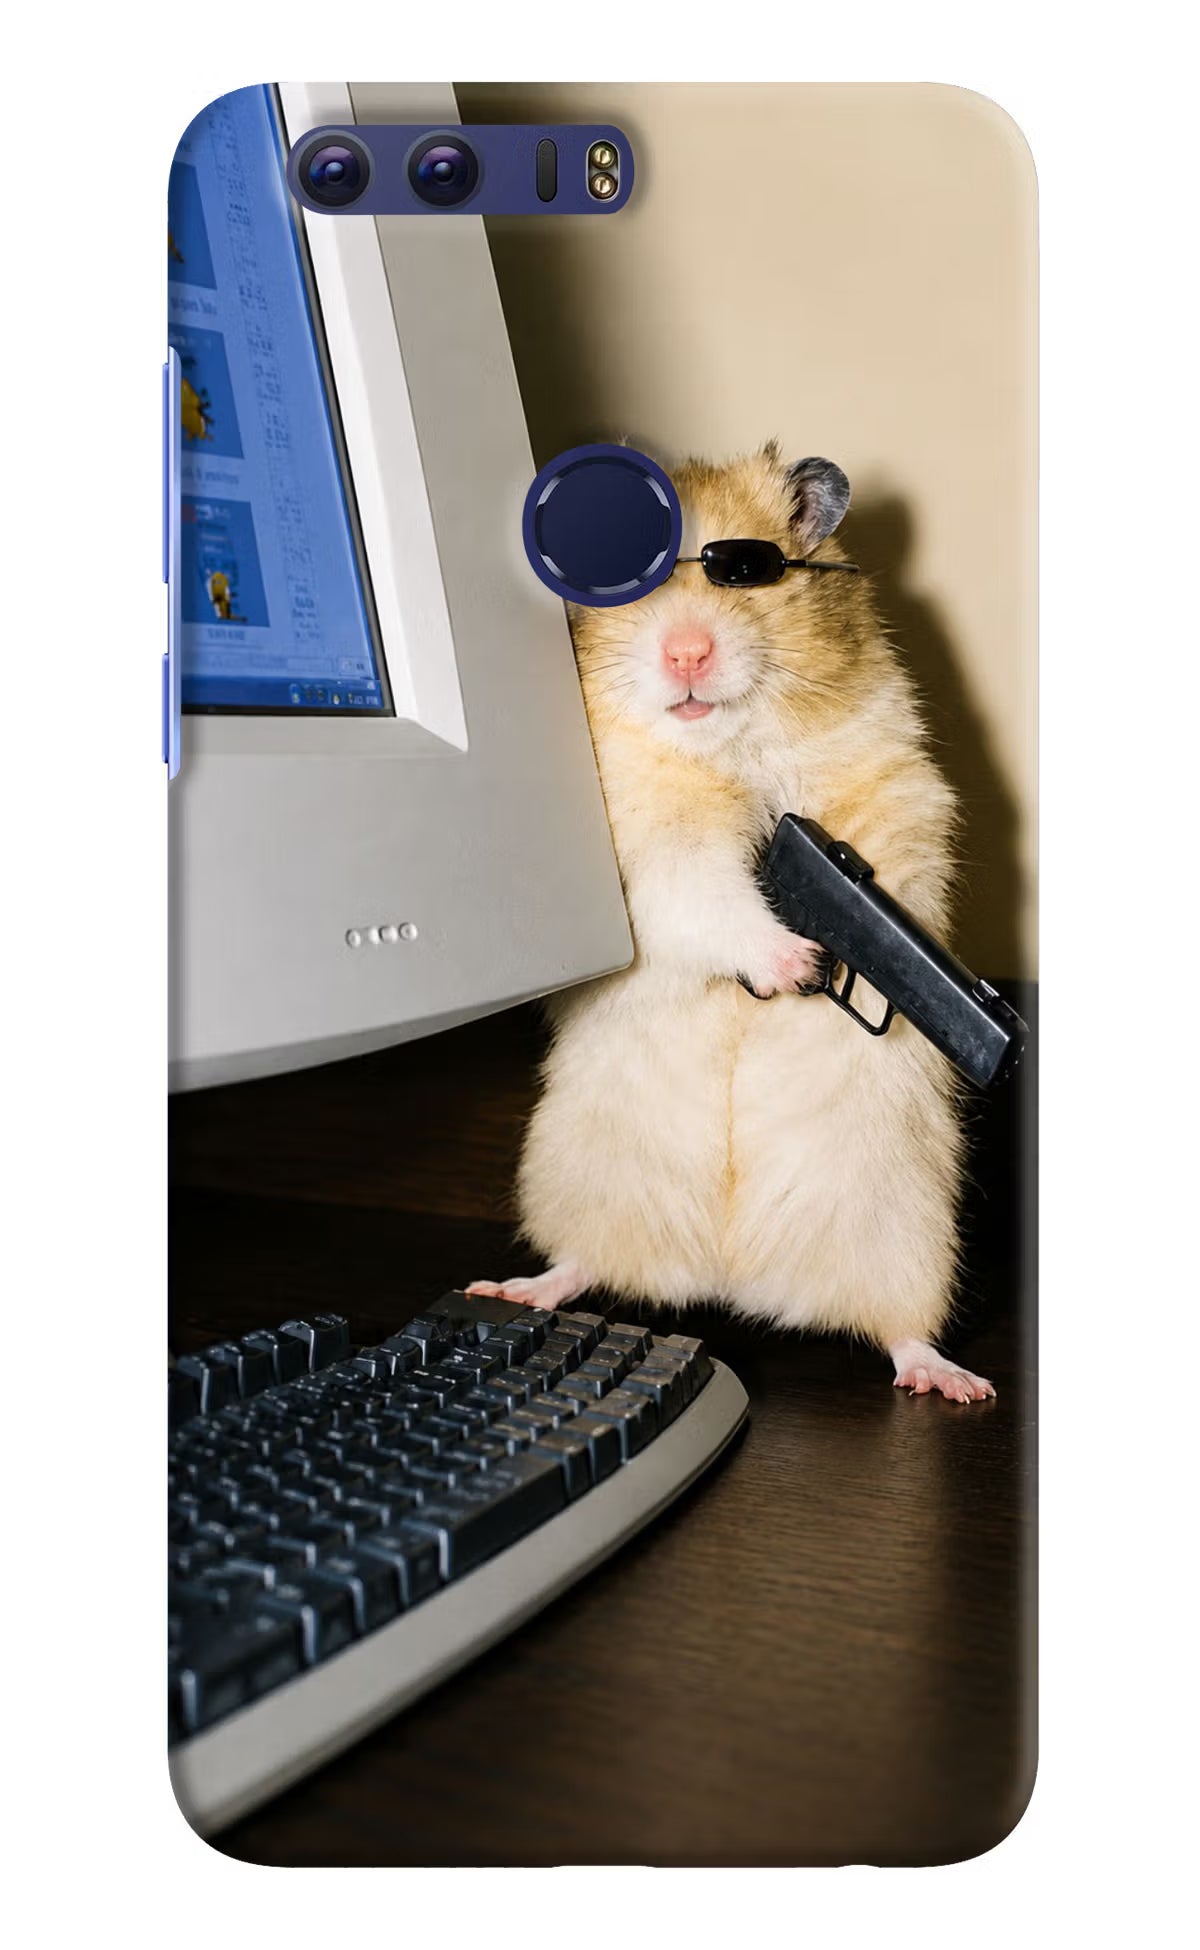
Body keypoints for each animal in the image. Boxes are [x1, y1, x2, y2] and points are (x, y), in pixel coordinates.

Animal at [469, 444, 993, 1403]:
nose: (686, 652)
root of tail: (730, 1276)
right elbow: (708, 895)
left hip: (907, 1229)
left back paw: (954, 1382)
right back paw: (514, 1288)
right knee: (582, 1263)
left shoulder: (895, 790)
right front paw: (797, 963)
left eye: (747, 572)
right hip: (580, 1177)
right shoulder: (650, 852)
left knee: (900, 1329)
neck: (728, 747)